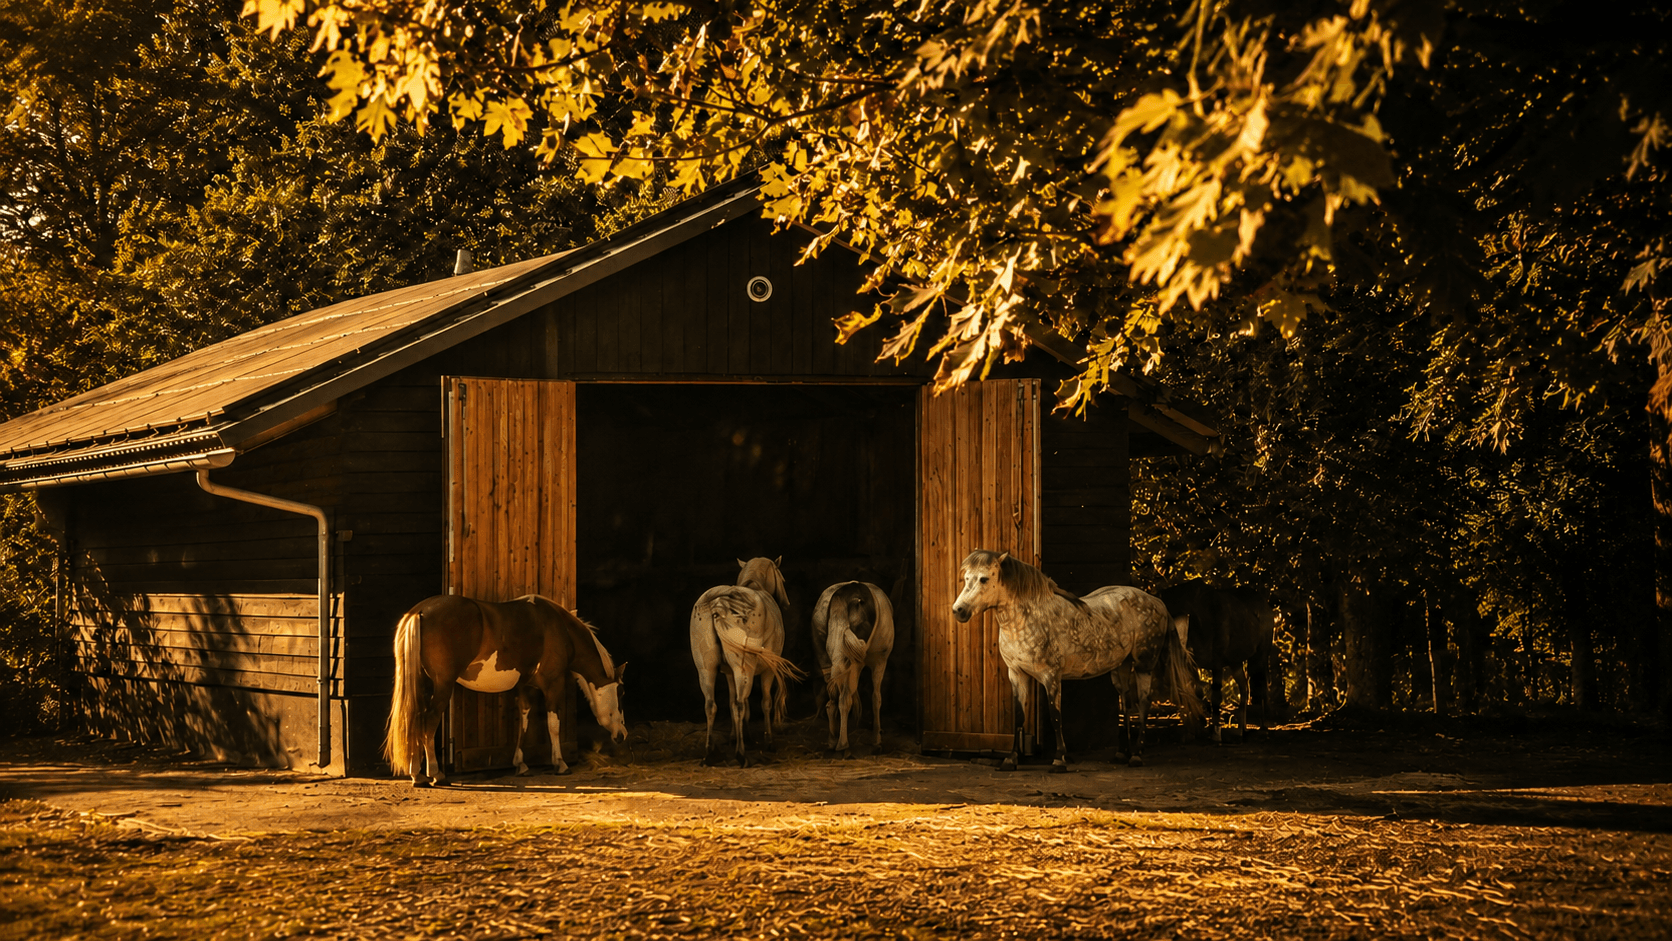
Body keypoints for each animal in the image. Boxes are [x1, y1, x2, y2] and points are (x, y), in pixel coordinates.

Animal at [384, 594, 627, 787]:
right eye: (622, 693)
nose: (622, 735)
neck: (558, 627)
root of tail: (419, 612)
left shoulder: (524, 687)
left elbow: (524, 721)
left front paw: (521, 764)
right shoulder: (553, 684)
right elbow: (553, 725)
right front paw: (560, 763)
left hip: (423, 685)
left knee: (414, 720)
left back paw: (418, 775)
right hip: (443, 686)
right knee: (429, 722)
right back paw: (435, 774)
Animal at [690, 556, 804, 766]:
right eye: (781, 578)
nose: (786, 602)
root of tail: (719, 604)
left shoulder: (729, 673)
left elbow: (732, 702)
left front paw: (739, 736)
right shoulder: (767, 670)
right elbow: (764, 702)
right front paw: (768, 741)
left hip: (706, 670)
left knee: (711, 705)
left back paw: (710, 753)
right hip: (744, 669)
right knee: (741, 704)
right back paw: (741, 754)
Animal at [811, 580, 895, 757]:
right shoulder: (879, 662)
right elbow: (876, 698)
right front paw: (876, 739)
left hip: (828, 659)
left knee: (832, 699)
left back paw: (832, 740)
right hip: (855, 663)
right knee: (845, 698)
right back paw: (843, 745)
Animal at [953, 550, 1202, 772]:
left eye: (984, 579)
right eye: (966, 578)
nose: (959, 611)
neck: (1028, 619)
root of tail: (1157, 602)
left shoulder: (1051, 676)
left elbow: (1055, 716)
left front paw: (1059, 760)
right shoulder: (1016, 673)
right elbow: (1018, 717)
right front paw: (1011, 760)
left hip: (1144, 665)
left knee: (1143, 703)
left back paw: (1137, 755)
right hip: (1121, 667)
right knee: (1126, 703)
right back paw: (1122, 753)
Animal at [1157, 580, 1275, 743]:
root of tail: (1267, 607)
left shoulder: (1217, 662)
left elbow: (1216, 697)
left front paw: (1215, 733)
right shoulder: (1194, 663)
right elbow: (1197, 691)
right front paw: (1194, 730)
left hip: (1261, 655)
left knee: (1261, 686)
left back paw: (1263, 728)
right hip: (1235, 662)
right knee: (1244, 686)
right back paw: (1241, 729)